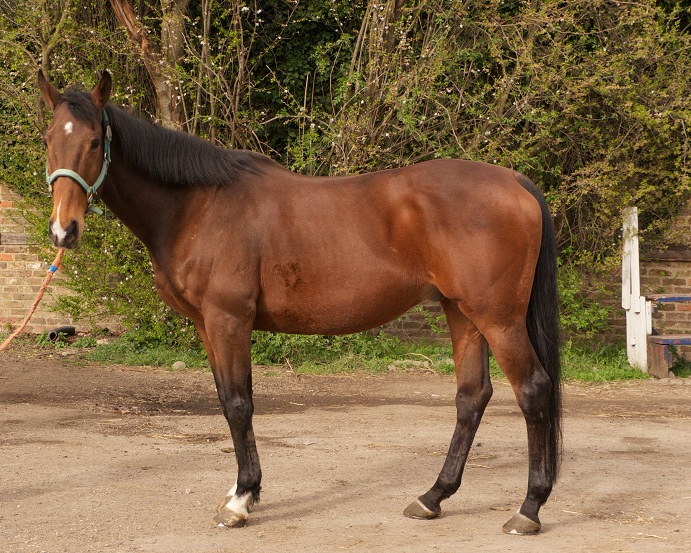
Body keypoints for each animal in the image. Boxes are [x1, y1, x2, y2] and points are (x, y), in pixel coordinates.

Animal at [37, 71, 564, 532]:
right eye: (46, 139)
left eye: (94, 142)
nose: (64, 230)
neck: (197, 206)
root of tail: (515, 182)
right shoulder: (208, 325)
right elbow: (229, 401)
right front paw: (243, 491)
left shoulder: (228, 320)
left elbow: (238, 404)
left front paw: (241, 501)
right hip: (463, 314)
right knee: (471, 397)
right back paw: (432, 497)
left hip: (498, 319)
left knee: (533, 389)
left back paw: (529, 509)